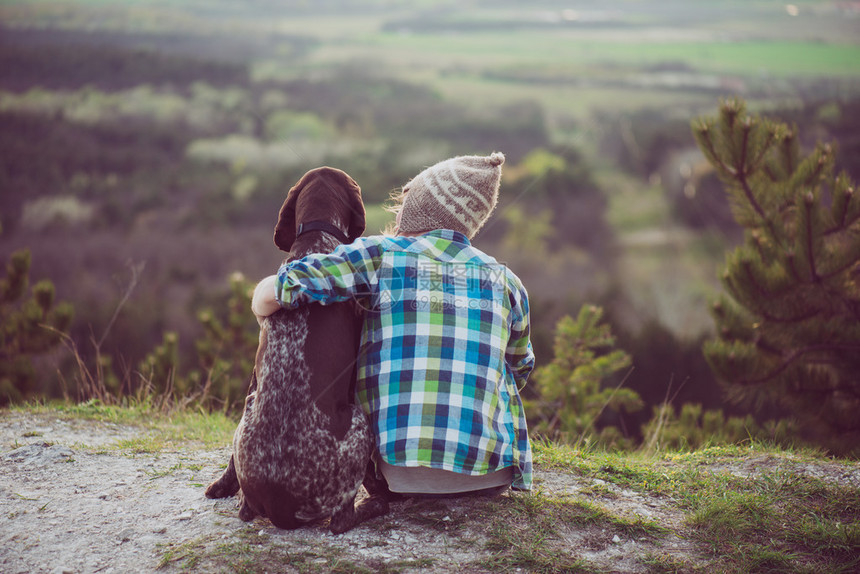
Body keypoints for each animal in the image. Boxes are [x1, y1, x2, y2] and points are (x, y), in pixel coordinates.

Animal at [205, 166, 386, 536]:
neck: (315, 239)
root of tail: (280, 507)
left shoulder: (256, 374)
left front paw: (223, 484)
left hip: (249, 411)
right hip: (358, 424)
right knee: (341, 520)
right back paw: (374, 504)